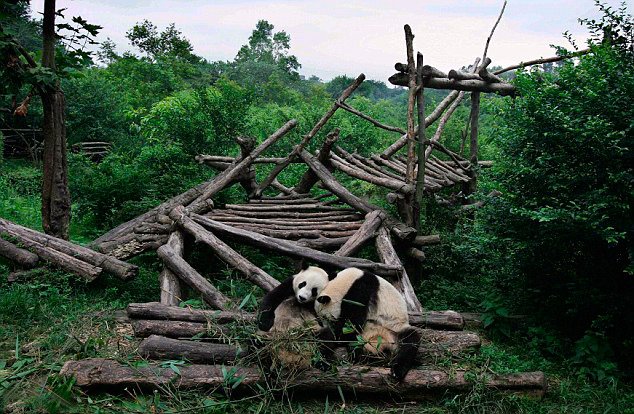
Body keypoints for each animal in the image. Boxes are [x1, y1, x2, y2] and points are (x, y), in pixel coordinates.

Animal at [256, 264, 420, 380]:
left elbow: (353, 320)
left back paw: (396, 371)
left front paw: (337, 335)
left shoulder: (361, 290)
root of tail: (380, 342)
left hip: (395, 328)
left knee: (410, 340)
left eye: (327, 318)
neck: (347, 281)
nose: (321, 325)